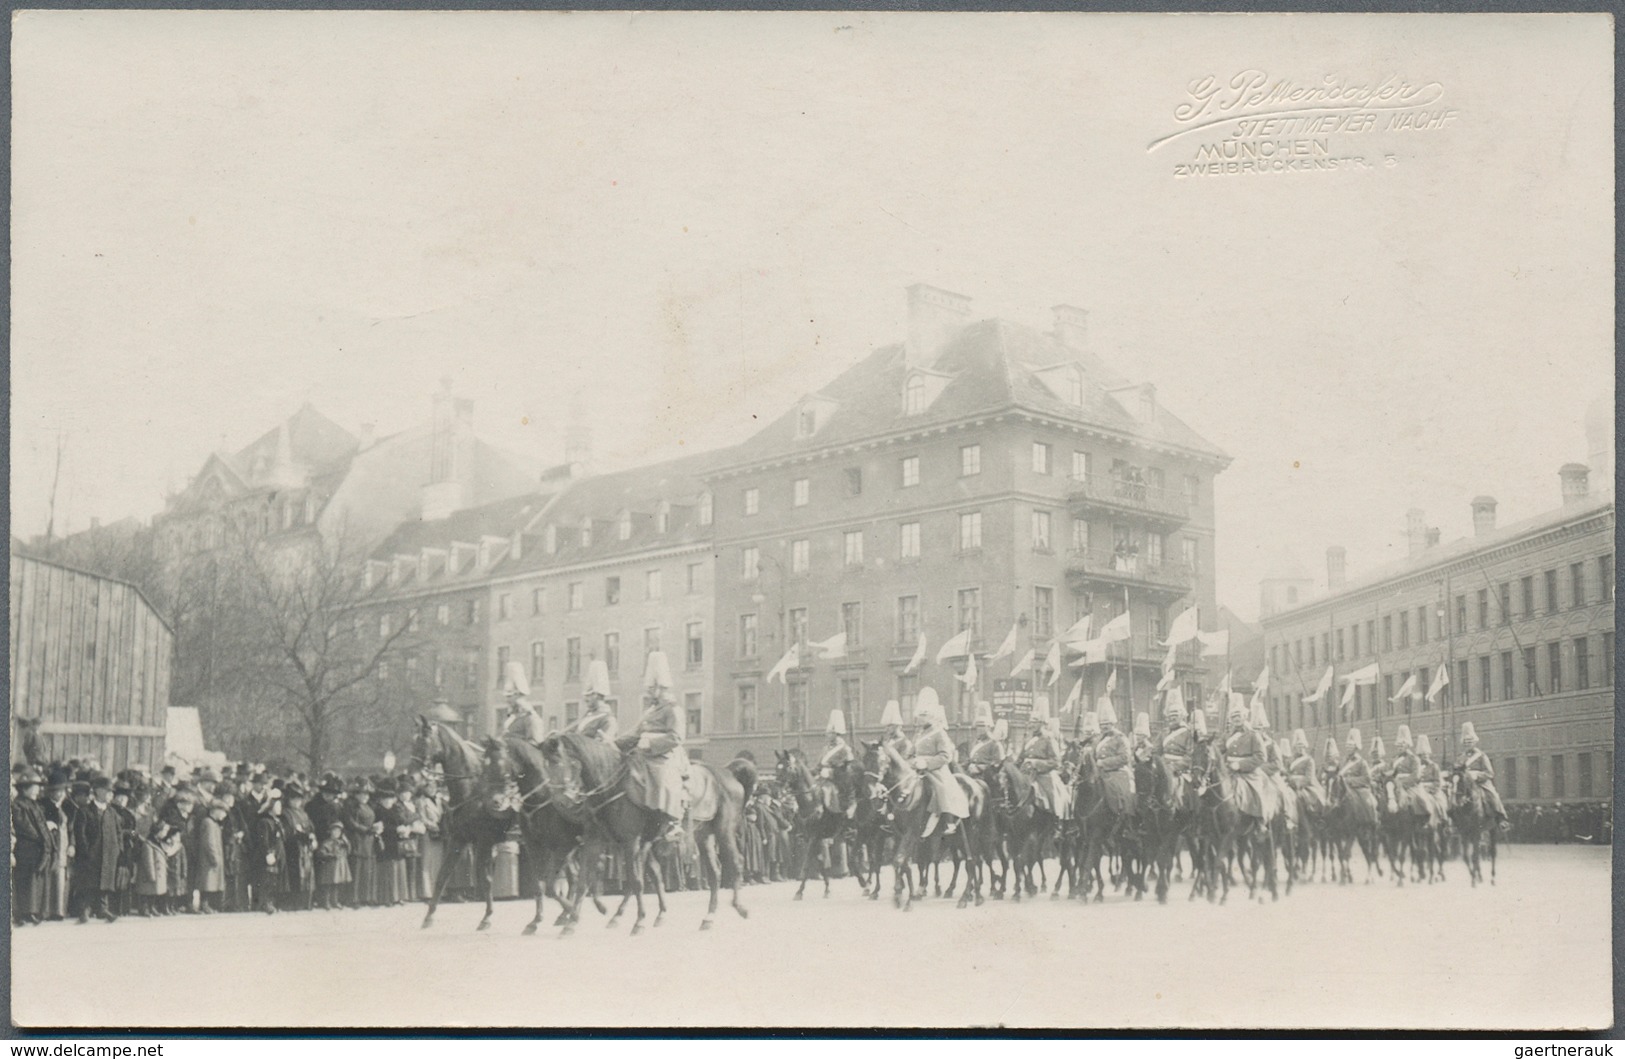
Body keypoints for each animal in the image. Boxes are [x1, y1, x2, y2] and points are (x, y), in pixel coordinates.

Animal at [412, 714, 520, 929]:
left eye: (424, 741)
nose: (412, 777)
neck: (472, 791)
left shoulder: (484, 842)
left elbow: (485, 879)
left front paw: (487, 917)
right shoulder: (459, 840)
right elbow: (442, 875)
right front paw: (429, 917)